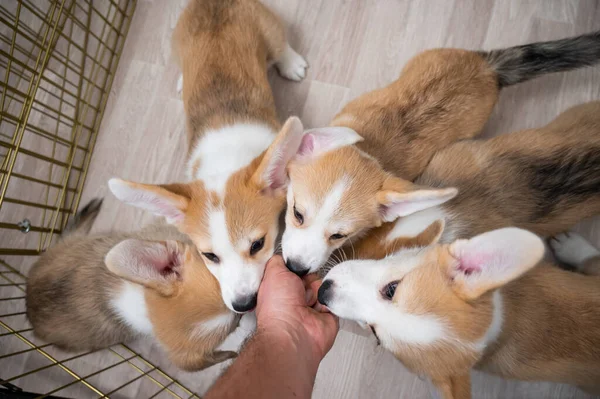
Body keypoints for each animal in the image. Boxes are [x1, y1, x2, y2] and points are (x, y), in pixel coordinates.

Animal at [108, 0, 324, 312]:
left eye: (257, 245)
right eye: (209, 256)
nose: (244, 304)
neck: (228, 159)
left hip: (269, 29)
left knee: (280, 45)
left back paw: (291, 63)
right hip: (176, 43)